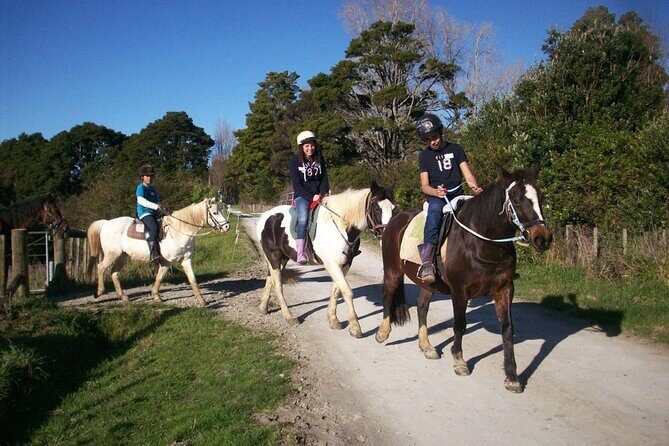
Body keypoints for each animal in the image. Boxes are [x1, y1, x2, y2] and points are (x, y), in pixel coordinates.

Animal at [86, 197, 231, 306]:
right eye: (215, 212)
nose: (227, 227)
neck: (179, 230)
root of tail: (106, 223)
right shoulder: (167, 261)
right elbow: (160, 277)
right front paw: (156, 296)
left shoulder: (186, 259)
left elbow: (192, 279)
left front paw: (202, 300)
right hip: (112, 255)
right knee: (100, 267)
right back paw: (99, 292)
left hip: (123, 256)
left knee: (114, 272)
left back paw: (123, 296)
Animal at [256, 182, 394, 337]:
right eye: (377, 208)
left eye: (393, 208)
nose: (387, 237)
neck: (340, 225)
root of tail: (266, 216)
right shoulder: (331, 263)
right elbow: (347, 291)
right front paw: (355, 327)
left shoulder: (345, 264)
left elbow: (337, 290)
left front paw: (334, 320)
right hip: (273, 255)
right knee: (278, 284)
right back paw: (289, 317)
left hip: (283, 257)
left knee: (270, 279)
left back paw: (263, 307)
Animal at [375, 165, 552, 393]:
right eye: (516, 198)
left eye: (540, 196)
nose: (542, 238)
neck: (483, 243)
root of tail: (395, 220)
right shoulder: (460, 290)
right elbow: (460, 324)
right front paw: (459, 361)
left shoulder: (505, 289)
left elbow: (507, 329)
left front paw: (512, 376)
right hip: (393, 271)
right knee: (387, 295)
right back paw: (382, 333)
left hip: (428, 282)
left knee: (422, 306)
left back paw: (427, 346)